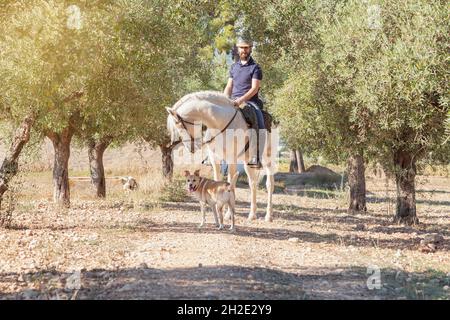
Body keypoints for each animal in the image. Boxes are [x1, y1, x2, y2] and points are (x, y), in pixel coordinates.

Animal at [166, 89, 276, 222]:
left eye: (180, 126)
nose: (191, 148)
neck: (220, 124)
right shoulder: (215, 159)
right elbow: (217, 182)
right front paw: (219, 210)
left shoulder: (231, 160)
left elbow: (230, 183)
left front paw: (228, 214)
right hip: (248, 162)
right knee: (253, 183)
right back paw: (252, 215)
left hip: (268, 159)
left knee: (269, 184)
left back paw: (268, 216)